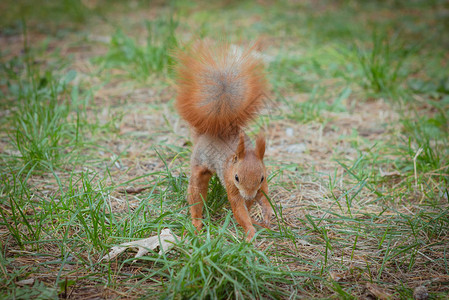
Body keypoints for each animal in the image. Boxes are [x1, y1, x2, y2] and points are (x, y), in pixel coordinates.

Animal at [173, 41, 272, 241]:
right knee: (196, 195)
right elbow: (238, 208)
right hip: (199, 166)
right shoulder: (231, 184)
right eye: (236, 177)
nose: (248, 195)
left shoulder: (261, 184)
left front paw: (266, 213)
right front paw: (249, 232)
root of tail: (207, 134)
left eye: (262, 177)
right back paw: (196, 223)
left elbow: (263, 196)